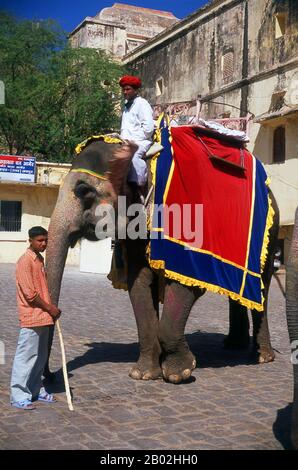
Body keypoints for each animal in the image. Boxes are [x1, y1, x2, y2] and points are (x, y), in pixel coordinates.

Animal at [46, 137, 280, 386]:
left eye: (85, 193)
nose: (52, 376)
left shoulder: (186, 225)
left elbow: (184, 282)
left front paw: (180, 373)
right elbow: (139, 283)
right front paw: (143, 374)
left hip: (269, 235)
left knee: (262, 289)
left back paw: (262, 356)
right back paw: (233, 346)